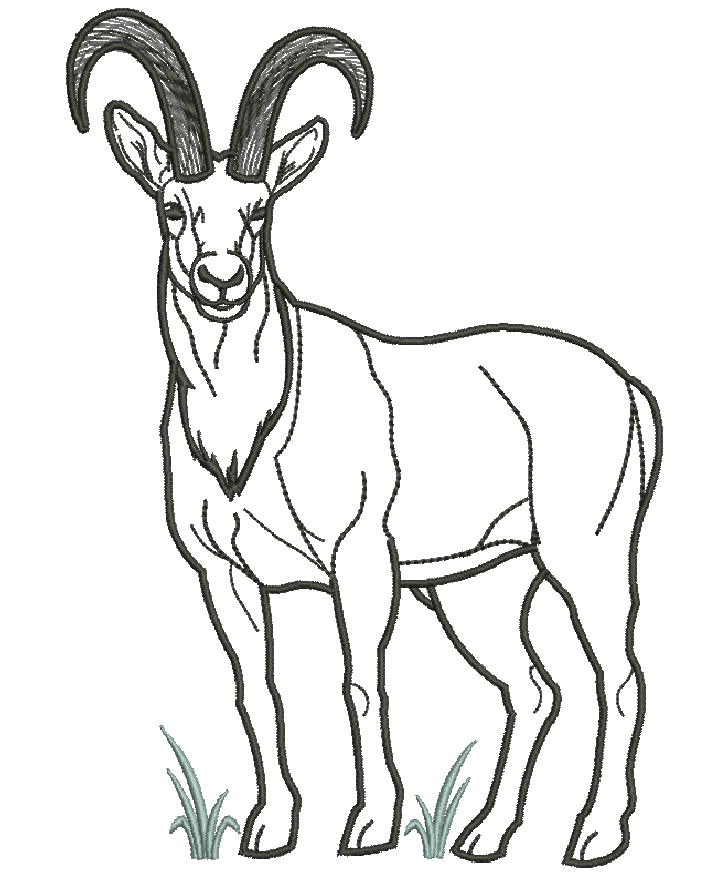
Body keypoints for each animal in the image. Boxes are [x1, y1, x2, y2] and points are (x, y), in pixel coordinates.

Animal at [68, 9, 661, 865]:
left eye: (259, 210)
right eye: (173, 207)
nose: (221, 279)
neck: (249, 435)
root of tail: (629, 389)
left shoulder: (359, 562)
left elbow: (359, 682)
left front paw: (369, 825)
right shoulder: (226, 577)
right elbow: (258, 690)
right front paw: (269, 828)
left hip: (588, 555)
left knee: (614, 678)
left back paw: (593, 833)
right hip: (477, 587)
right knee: (530, 687)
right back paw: (484, 833)